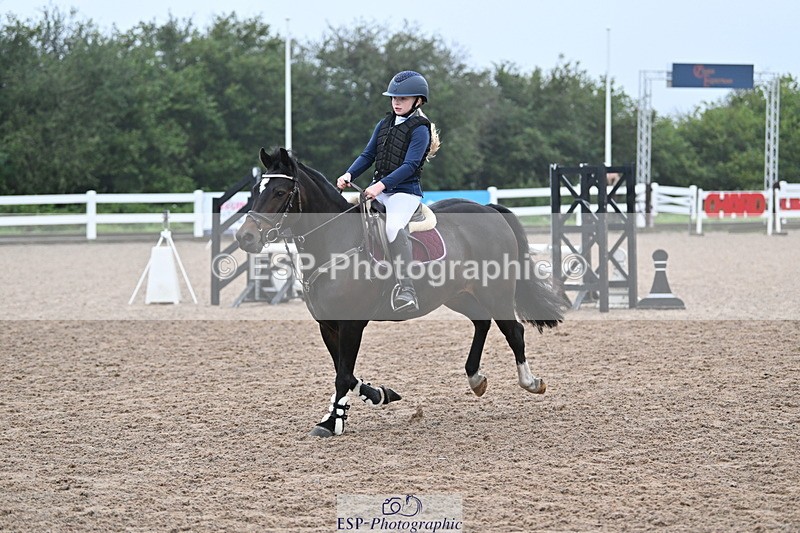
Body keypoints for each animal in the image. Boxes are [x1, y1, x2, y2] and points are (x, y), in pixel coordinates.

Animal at [236, 147, 566, 437]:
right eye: (255, 191)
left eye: (280, 192)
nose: (245, 237)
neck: (334, 242)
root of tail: (486, 209)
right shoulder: (328, 326)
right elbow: (345, 373)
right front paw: (377, 395)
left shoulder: (351, 325)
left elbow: (343, 374)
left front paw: (332, 423)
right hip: (458, 295)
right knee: (482, 323)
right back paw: (475, 378)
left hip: (495, 292)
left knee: (513, 331)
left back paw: (531, 382)